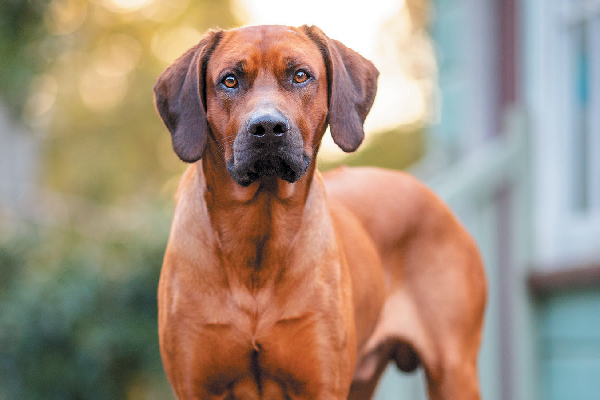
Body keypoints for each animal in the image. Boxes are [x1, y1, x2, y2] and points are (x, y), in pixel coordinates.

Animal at [152, 25, 486, 400]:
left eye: (300, 75)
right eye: (229, 80)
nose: (267, 128)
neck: (257, 238)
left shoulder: (322, 381)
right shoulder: (197, 385)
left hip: (454, 370)